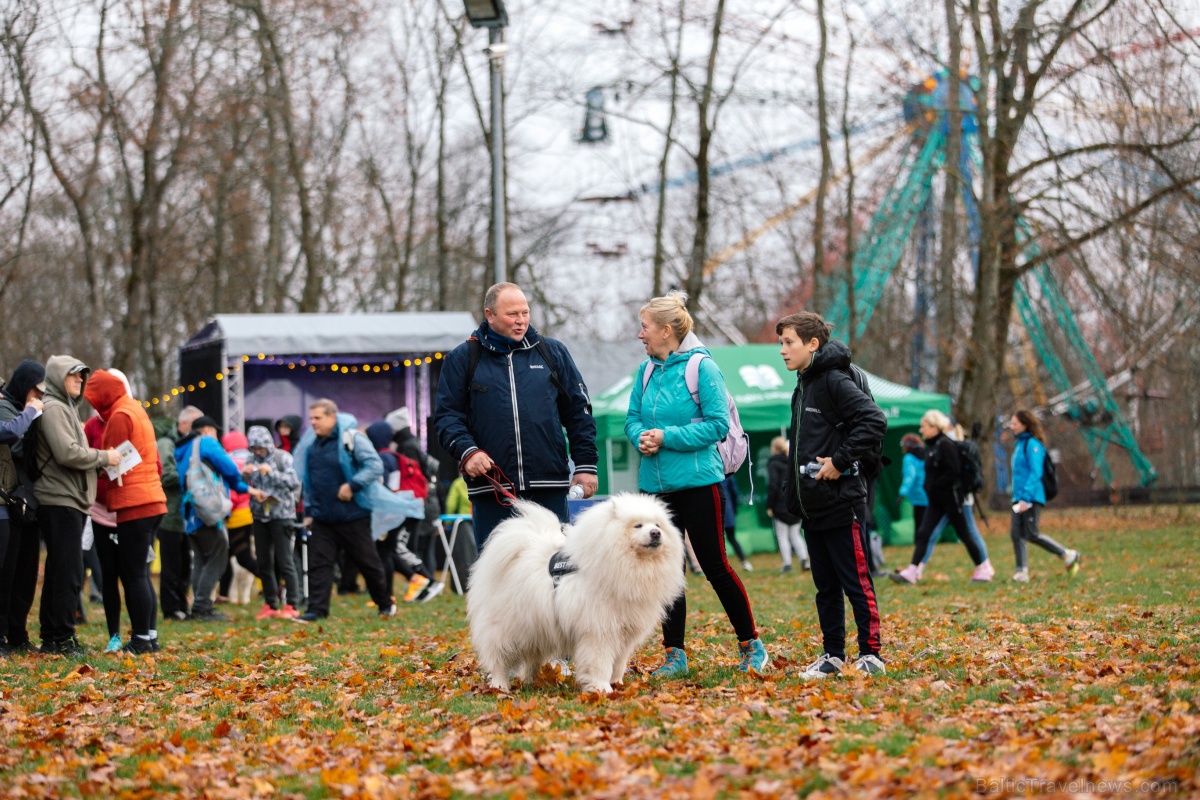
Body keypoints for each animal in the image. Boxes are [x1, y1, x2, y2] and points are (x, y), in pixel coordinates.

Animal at [472, 494, 691, 695]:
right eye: (638, 525)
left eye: (658, 525)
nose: (655, 533)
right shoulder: (599, 631)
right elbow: (601, 663)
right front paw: (602, 688)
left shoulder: (625, 632)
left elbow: (618, 664)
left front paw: (618, 684)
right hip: (508, 628)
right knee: (499, 658)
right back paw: (500, 685)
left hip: (535, 627)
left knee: (531, 658)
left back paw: (530, 681)